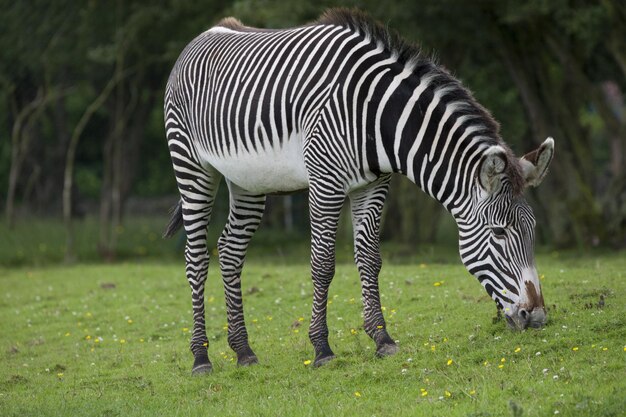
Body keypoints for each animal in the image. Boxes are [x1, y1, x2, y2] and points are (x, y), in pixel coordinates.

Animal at [163, 8, 552, 372]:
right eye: (499, 232)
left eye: (533, 230)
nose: (536, 317)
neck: (377, 117)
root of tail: (204, 35)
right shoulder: (325, 182)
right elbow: (323, 263)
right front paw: (322, 348)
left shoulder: (374, 184)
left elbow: (369, 259)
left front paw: (382, 339)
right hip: (191, 165)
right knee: (195, 258)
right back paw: (201, 357)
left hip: (247, 180)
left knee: (230, 252)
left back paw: (243, 351)